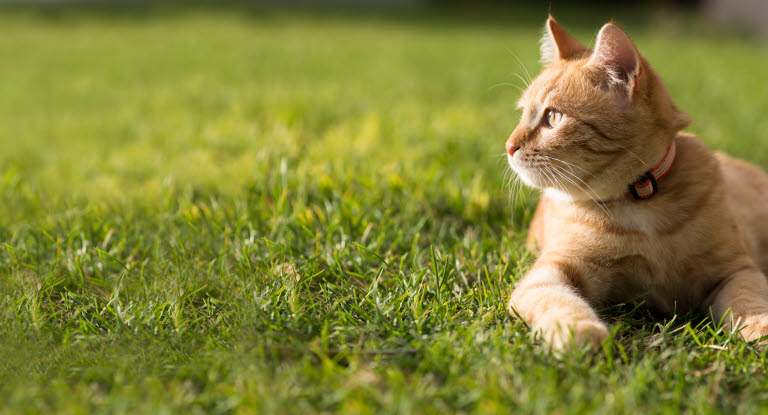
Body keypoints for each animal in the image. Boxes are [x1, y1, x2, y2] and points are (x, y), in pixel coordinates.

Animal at [508, 16, 768, 352]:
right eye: (522, 114)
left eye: (553, 117)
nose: (509, 146)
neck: (642, 200)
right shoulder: (549, 274)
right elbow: (556, 301)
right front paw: (579, 332)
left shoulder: (737, 270)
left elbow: (749, 302)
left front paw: (761, 327)